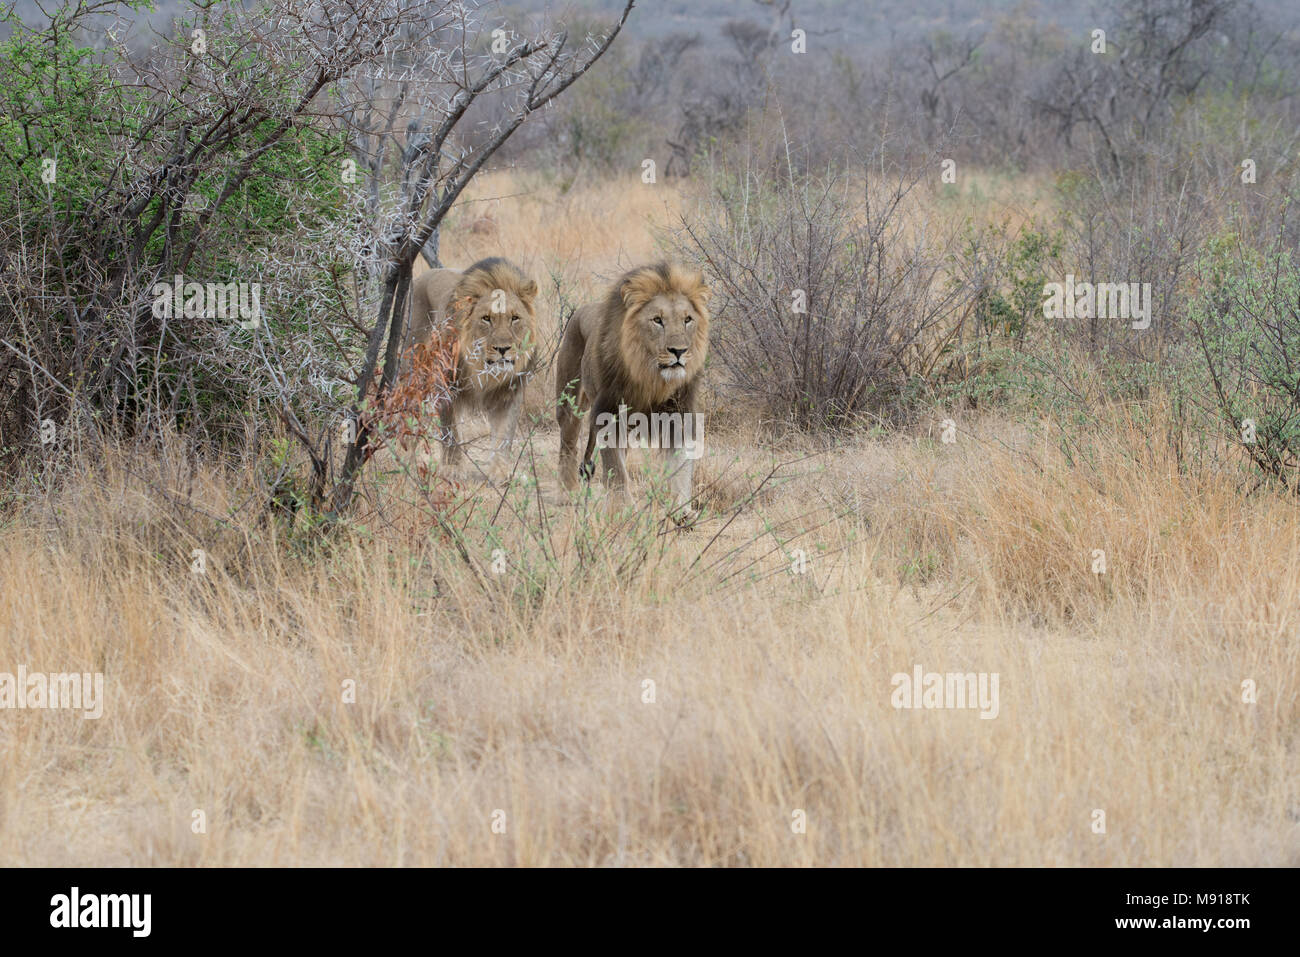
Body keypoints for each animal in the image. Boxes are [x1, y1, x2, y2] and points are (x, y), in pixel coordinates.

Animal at [397, 256, 535, 475]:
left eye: (514, 318)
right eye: (486, 318)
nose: (503, 349)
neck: (484, 370)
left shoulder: (510, 391)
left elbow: (504, 435)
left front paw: (500, 471)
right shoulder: (445, 384)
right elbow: (450, 430)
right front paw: (452, 468)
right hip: (412, 371)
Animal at [551, 257, 707, 520]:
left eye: (687, 319)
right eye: (657, 320)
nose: (679, 351)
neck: (650, 376)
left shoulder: (679, 413)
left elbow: (680, 465)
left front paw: (682, 510)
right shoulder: (607, 412)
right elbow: (616, 468)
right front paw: (622, 509)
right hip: (569, 402)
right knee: (568, 445)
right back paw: (566, 493)